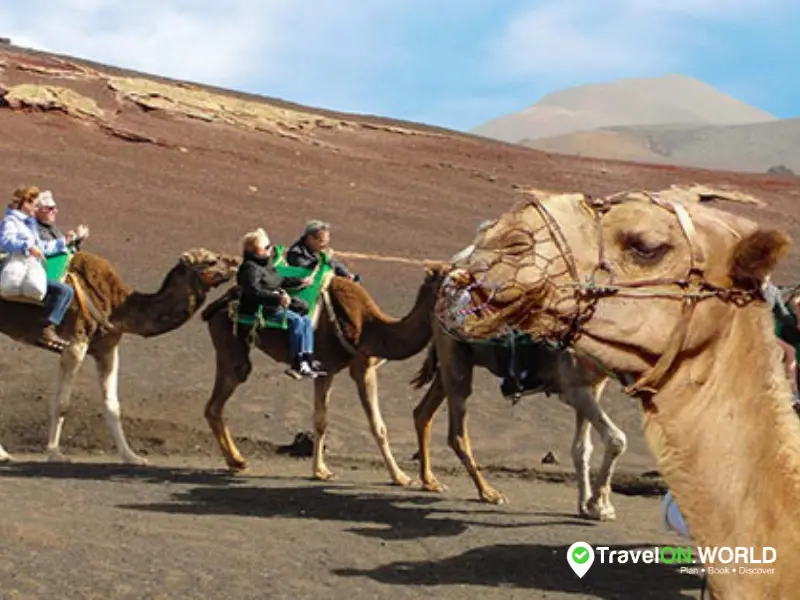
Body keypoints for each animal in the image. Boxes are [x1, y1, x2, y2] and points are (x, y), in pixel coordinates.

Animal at [0, 248, 239, 464]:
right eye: (210, 260)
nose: (235, 262)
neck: (117, 305)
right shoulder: (75, 343)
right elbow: (62, 403)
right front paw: (55, 453)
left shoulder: (107, 348)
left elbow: (113, 406)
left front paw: (132, 457)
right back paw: (5, 454)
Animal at [200, 264, 450, 486]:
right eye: (447, 283)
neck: (371, 327)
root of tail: (214, 306)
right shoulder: (343, 368)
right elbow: (356, 424)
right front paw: (400, 477)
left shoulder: (352, 367)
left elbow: (344, 422)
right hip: (228, 338)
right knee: (224, 391)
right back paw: (237, 460)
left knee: (216, 404)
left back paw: (236, 461)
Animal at [412, 318, 624, 520]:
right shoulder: (574, 387)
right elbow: (616, 439)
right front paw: (599, 506)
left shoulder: (592, 386)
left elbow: (583, 447)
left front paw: (588, 506)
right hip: (455, 360)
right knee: (456, 433)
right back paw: (489, 493)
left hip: (452, 363)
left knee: (423, 412)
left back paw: (430, 482)